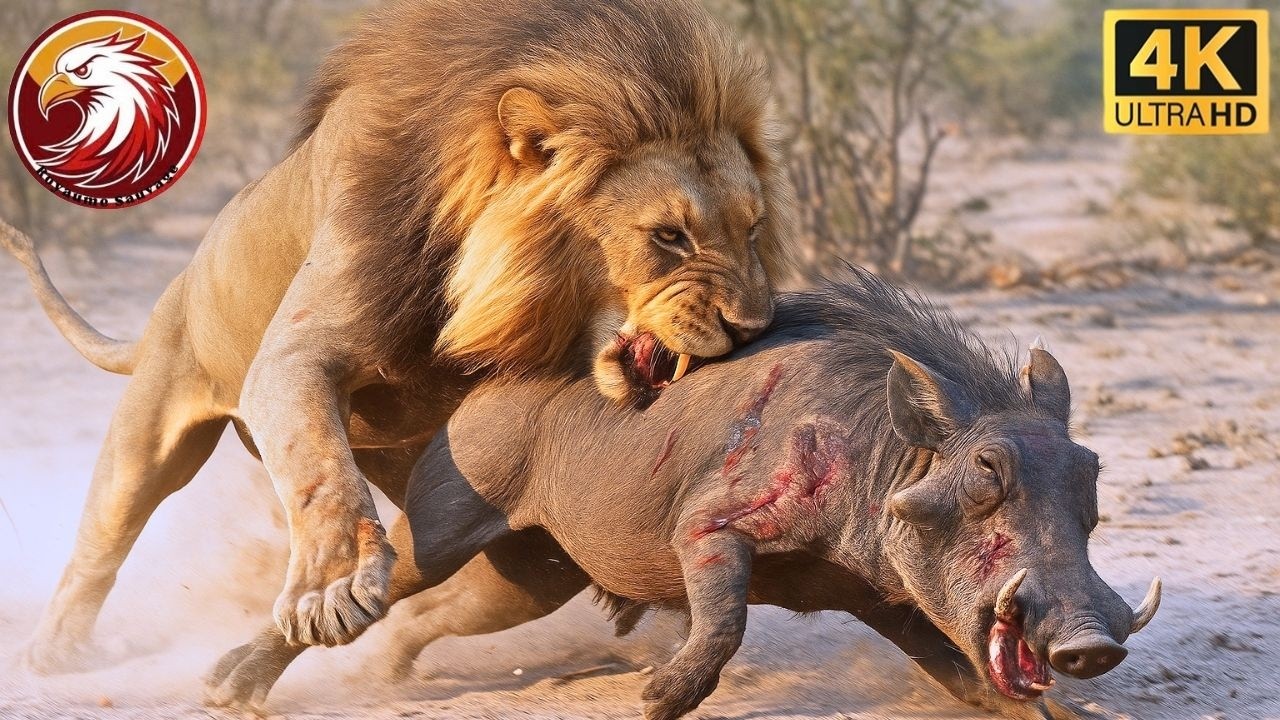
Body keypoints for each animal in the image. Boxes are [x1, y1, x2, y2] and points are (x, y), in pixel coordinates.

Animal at [1, 0, 795, 674]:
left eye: (753, 228)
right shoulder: (296, 351)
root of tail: (179, 283)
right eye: (669, 237)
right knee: (103, 537)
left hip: (486, 519)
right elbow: (320, 471)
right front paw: (330, 589)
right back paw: (55, 652)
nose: (753, 328)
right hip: (151, 429)